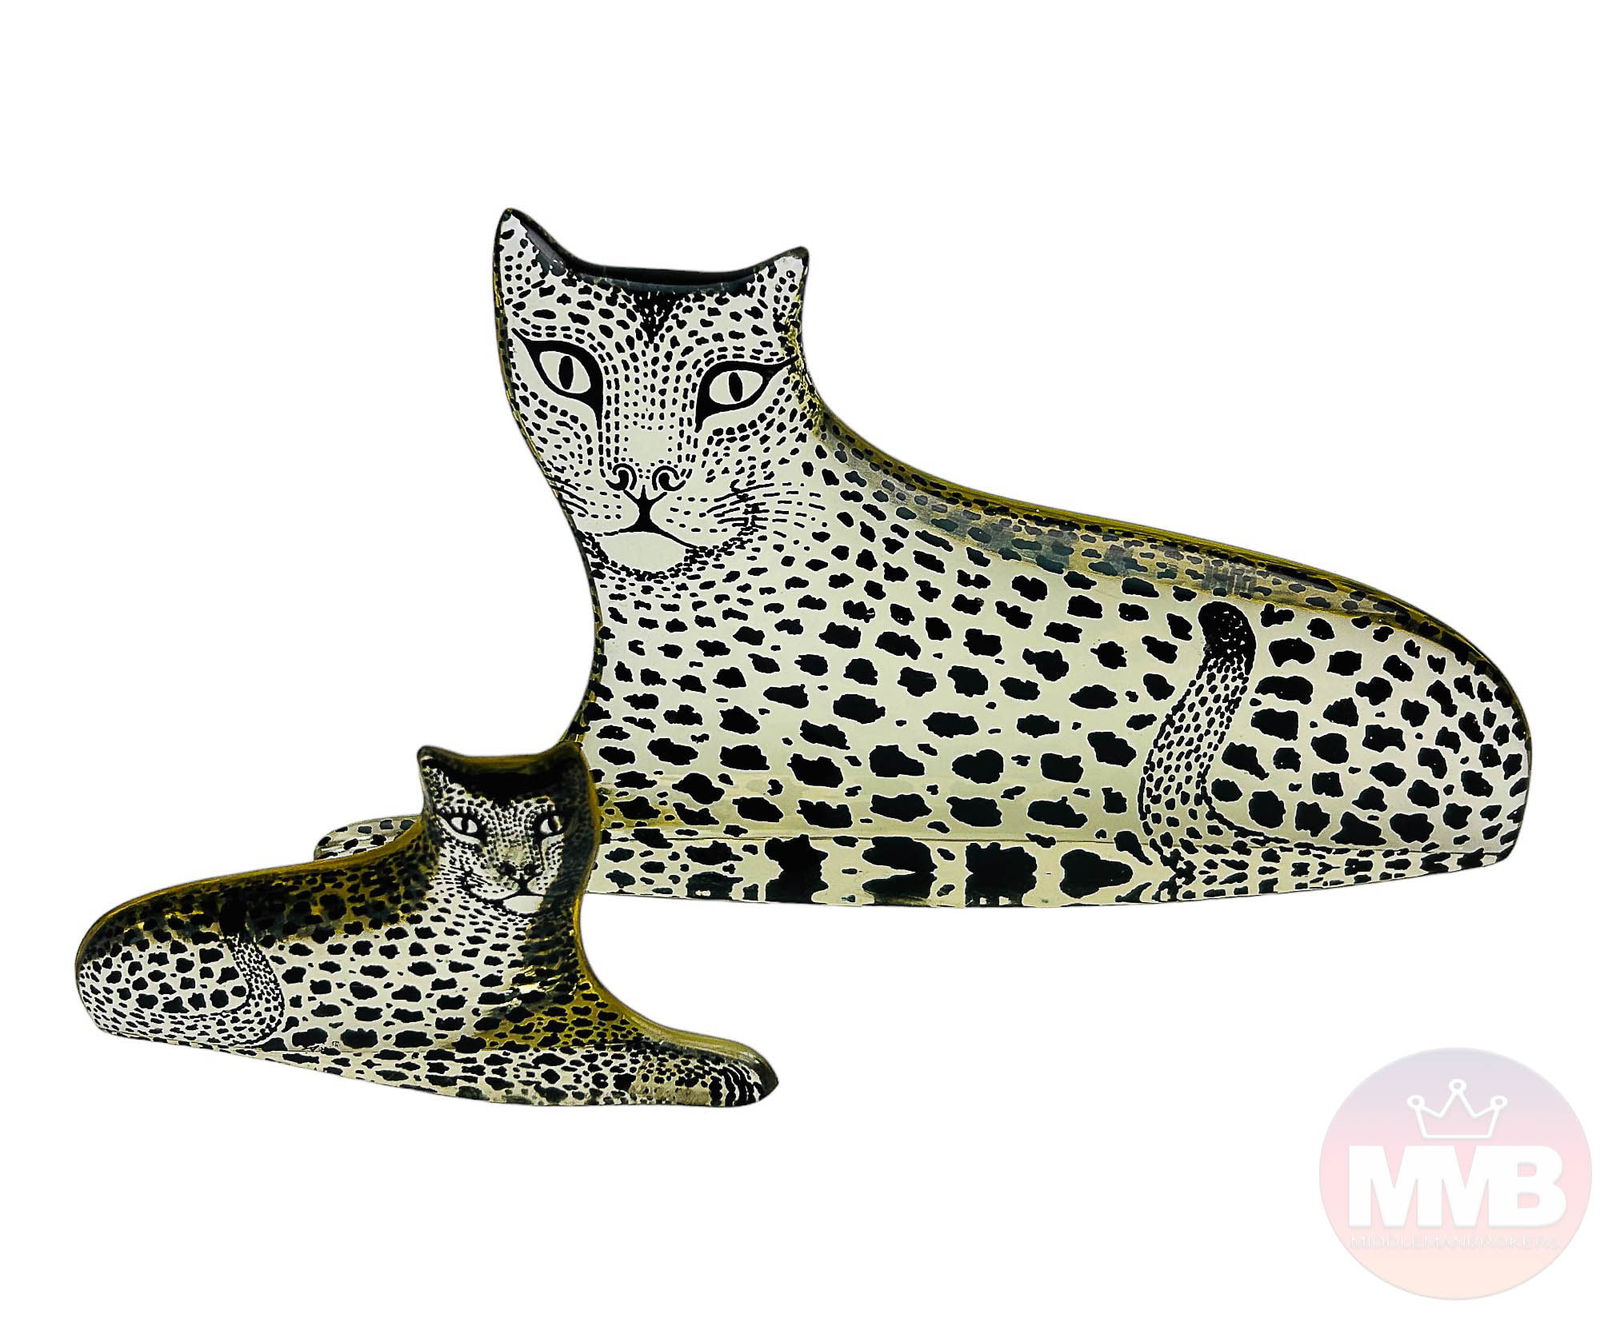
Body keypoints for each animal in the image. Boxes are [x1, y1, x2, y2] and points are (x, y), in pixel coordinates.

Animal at [78, 742, 776, 1105]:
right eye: (468, 824)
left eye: (549, 822)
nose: (519, 873)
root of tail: (84, 960)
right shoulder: (524, 1035)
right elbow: (607, 1060)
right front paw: (714, 1071)